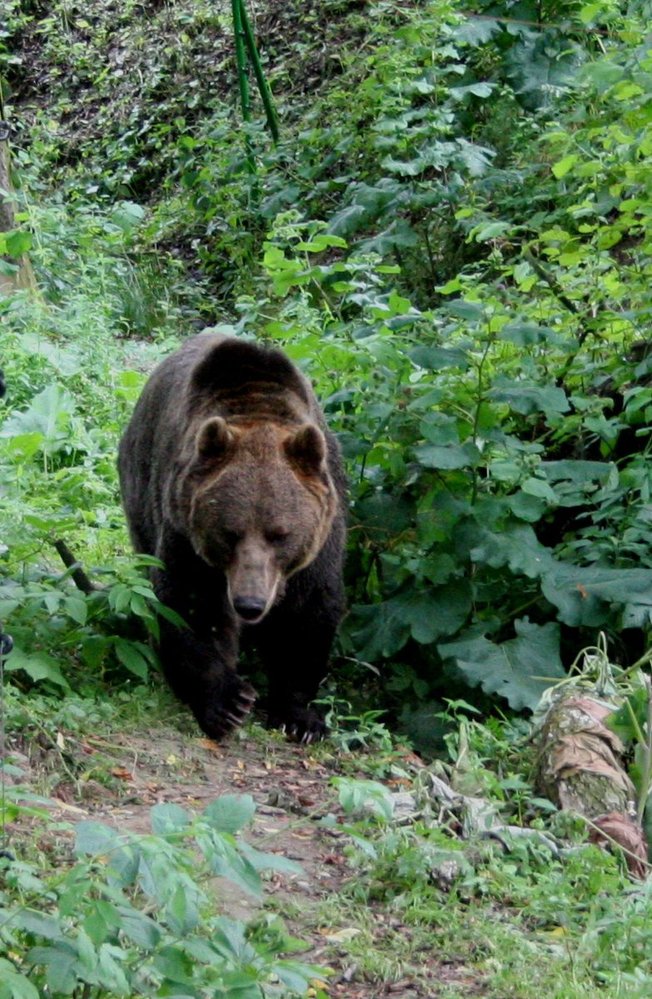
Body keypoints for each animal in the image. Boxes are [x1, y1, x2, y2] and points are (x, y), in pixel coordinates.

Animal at [119, 334, 348, 744]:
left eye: (280, 535)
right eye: (230, 533)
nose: (250, 604)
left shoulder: (322, 535)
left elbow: (308, 610)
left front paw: (300, 718)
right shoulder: (185, 528)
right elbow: (190, 603)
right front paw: (227, 703)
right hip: (140, 489)